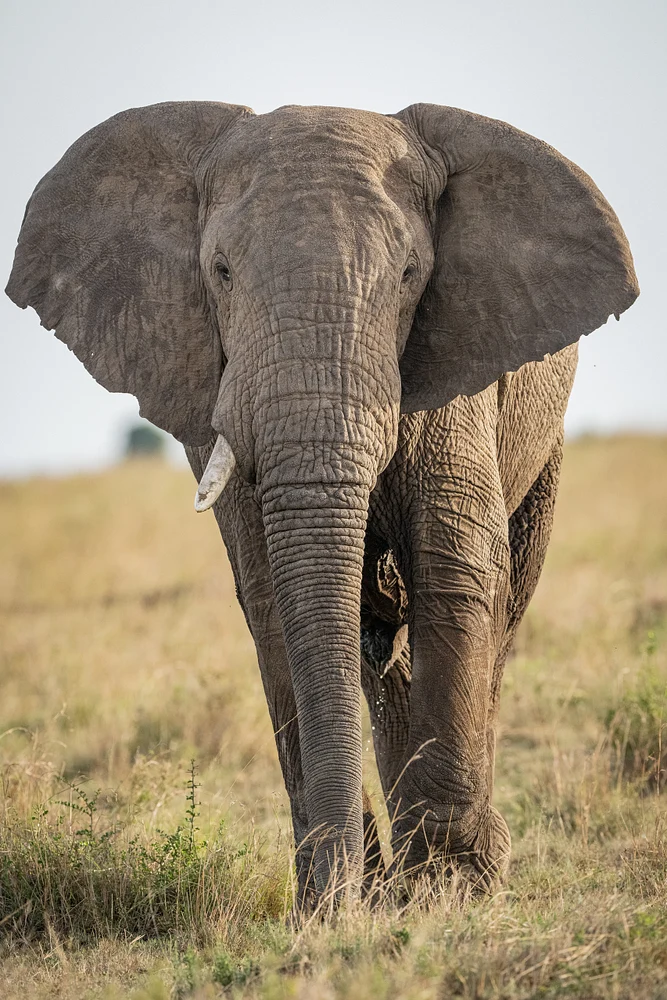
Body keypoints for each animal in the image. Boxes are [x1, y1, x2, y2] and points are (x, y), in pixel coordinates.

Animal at [6, 100, 638, 905]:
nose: (342, 900)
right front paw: (338, 900)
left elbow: (454, 567)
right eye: (220, 273)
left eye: (410, 275)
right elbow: (274, 597)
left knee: (497, 605)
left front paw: (447, 894)